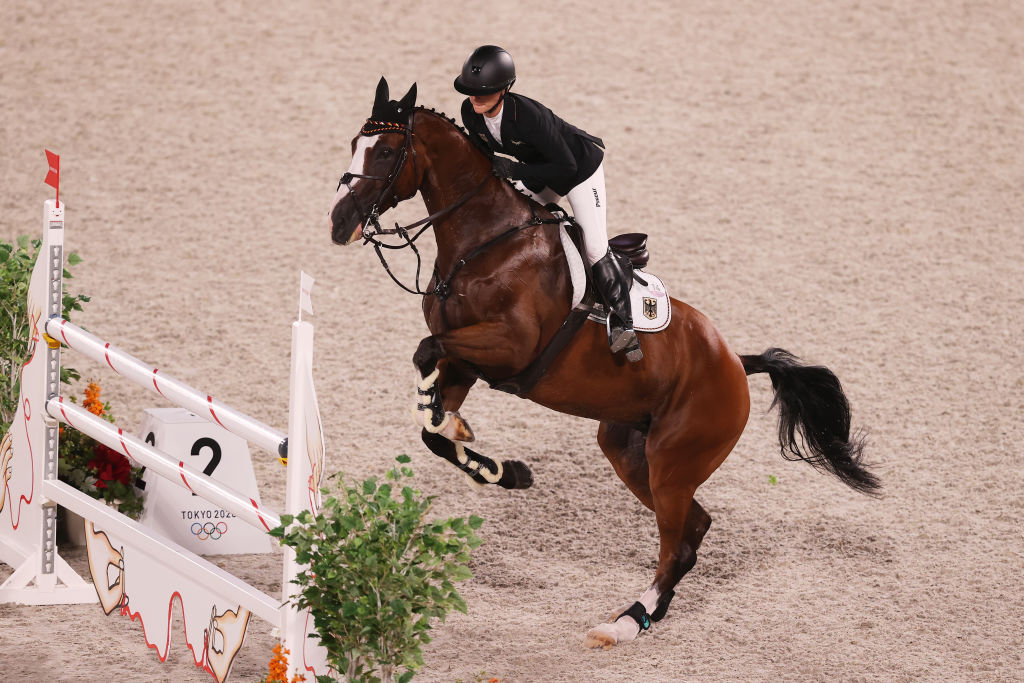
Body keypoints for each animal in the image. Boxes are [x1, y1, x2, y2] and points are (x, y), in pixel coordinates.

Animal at [323, 77, 876, 651]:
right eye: (355, 145)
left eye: (388, 152)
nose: (339, 223)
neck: (484, 243)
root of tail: (735, 364)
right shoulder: (469, 360)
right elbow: (431, 421)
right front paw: (503, 468)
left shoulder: (509, 346)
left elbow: (426, 352)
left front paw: (456, 426)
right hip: (631, 450)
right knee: (694, 527)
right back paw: (645, 612)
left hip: (674, 462)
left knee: (677, 543)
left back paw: (625, 622)